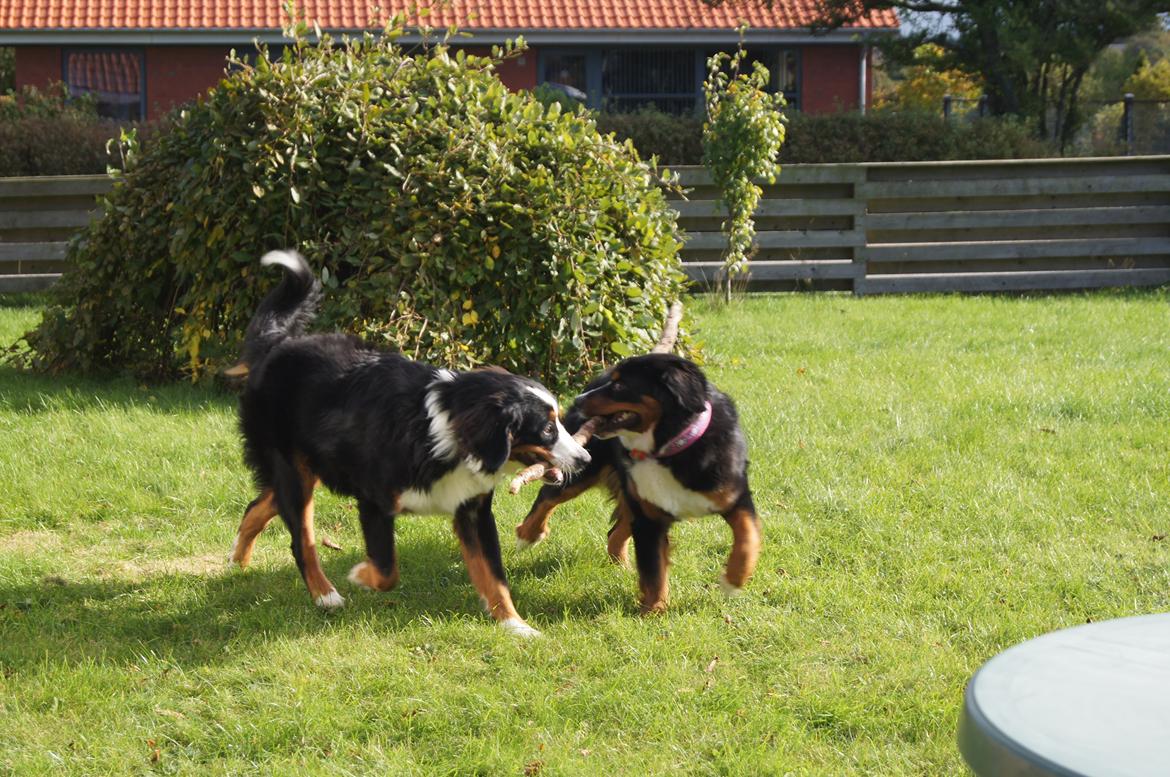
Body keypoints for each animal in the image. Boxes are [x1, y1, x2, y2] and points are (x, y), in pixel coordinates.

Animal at [226, 251, 589, 636]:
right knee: (302, 540)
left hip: (308, 470)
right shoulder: (374, 501)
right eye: (547, 430)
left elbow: (494, 577)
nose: (584, 458)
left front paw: (515, 625)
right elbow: (387, 571)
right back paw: (325, 594)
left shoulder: (473, 511)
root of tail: (279, 345)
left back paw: (237, 560)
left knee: (257, 506)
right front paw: (360, 575)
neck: (440, 434)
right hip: (294, 473)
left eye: (559, 421)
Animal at [519, 355, 758, 617]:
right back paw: (528, 534)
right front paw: (653, 611)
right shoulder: (649, 517)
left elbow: (748, 536)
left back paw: (621, 569)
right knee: (548, 497)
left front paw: (733, 580)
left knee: (614, 534)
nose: (579, 399)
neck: (669, 449)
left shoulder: (734, 496)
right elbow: (653, 569)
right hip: (584, 465)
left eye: (620, 385)